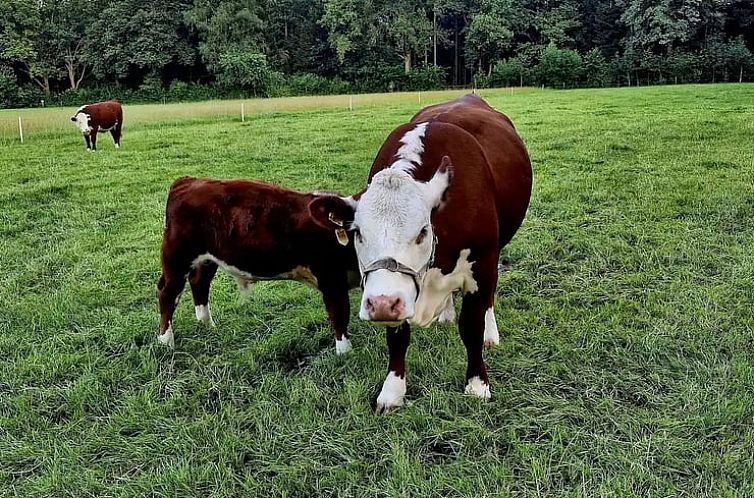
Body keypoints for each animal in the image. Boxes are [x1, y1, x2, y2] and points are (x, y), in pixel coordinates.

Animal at [156, 175, 358, 350]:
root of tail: (189, 180)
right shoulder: (330, 279)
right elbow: (340, 316)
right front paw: (345, 353)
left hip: (207, 259)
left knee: (199, 283)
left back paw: (207, 326)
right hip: (177, 258)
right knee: (168, 293)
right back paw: (166, 341)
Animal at [308, 94, 532, 412]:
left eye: (423, 231)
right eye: (358, 232)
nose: (381, 304)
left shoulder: (481, 262)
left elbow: (471, 328)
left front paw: (477, 384)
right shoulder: (398, 291)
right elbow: (397, 337)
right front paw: (392, 392)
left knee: (489, 296)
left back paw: (490, 332)